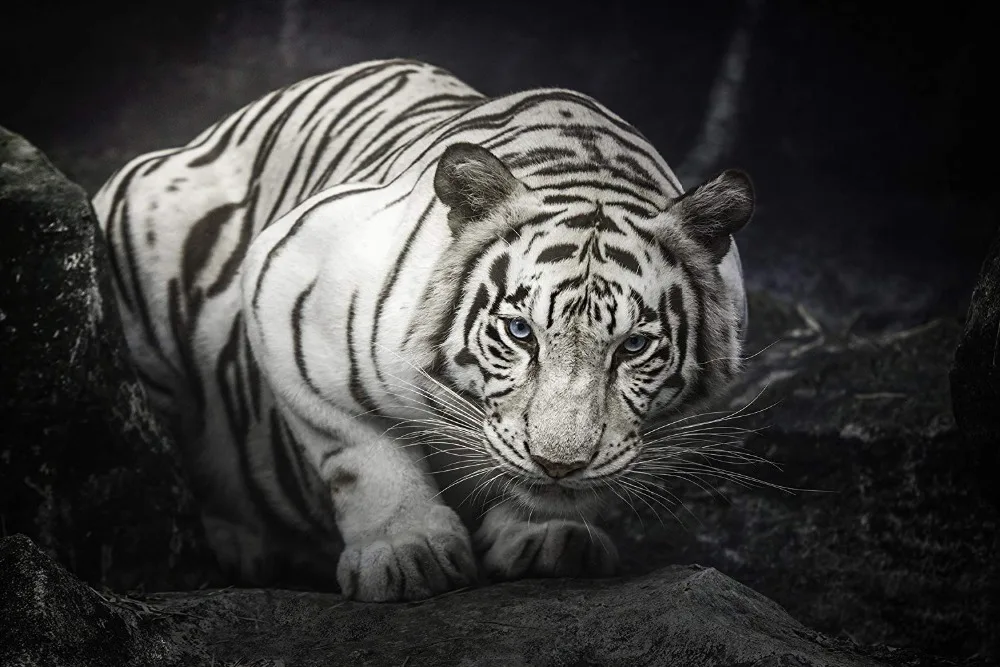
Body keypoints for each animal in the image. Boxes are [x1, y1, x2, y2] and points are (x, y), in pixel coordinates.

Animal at [92, 58, 754, 602]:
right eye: (520, 333)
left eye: (634, 346)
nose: (557, 464)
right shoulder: (285, 285)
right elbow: (360, 449)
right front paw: (407, 556)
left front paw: (553, 535)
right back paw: (240, 545)